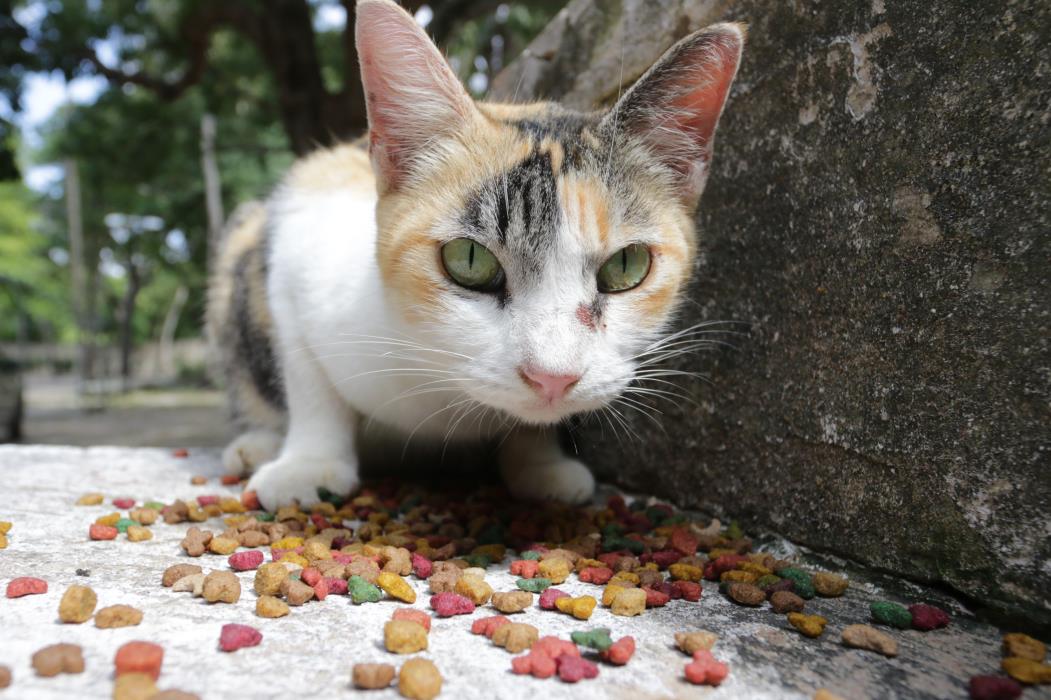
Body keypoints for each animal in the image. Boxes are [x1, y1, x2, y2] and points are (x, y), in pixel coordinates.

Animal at [207, 0, 748, 506]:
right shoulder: (301, 235)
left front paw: (540, 464)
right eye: (469, 260)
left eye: (626, 265)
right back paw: (256, 445)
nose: (552, 378)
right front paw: (308, 465)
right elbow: (309, 379)